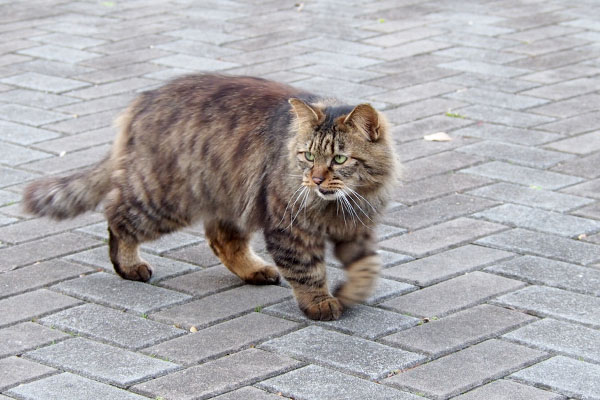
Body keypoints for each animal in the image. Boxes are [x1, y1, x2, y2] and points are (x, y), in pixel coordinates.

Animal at [23, 73, 398, 320]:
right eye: (307, 156)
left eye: (339, 159)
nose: (315, 179)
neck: (337, 205)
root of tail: (145, 99)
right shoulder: (289, 227)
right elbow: (306, 270)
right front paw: (319, 303)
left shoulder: (357, 227)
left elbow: (367, 267)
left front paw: (352, 294)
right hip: (165, 199)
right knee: (116, 215)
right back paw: (129, 267)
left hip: (228, 197)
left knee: (222, 240)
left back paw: (253, 271)